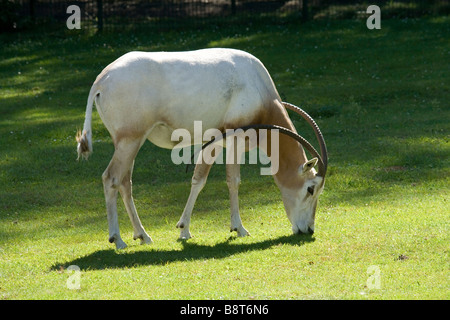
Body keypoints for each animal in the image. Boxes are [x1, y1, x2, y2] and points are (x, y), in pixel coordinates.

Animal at [77, 47, 326, 249]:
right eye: (311, 189)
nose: (308, 230)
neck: (257, 86)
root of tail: (101, 80)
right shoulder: (234, 139)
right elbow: (233, 180)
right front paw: (239, 228)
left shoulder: (212, 141)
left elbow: (198, 180)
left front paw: (184, 230)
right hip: (130, 140)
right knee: (111, 178)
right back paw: (118, 239)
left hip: (130, 142)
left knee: (125, 182)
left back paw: (143, 236)